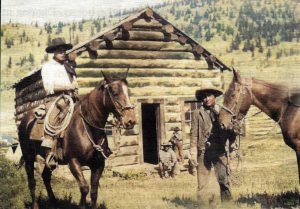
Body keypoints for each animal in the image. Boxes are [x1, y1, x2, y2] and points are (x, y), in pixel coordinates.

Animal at [17, 71, 136, 208]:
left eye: (129, 92)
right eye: (115, 93)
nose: (131, 120)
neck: (88, 127)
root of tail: (26, 119)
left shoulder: (98, 164)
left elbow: (94, 191)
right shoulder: (73, 162)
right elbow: (84, 188)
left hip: (50, 160)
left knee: (45, 176)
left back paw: (54, 203)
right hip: (29, 156)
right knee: (31, 181)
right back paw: (36, 205)